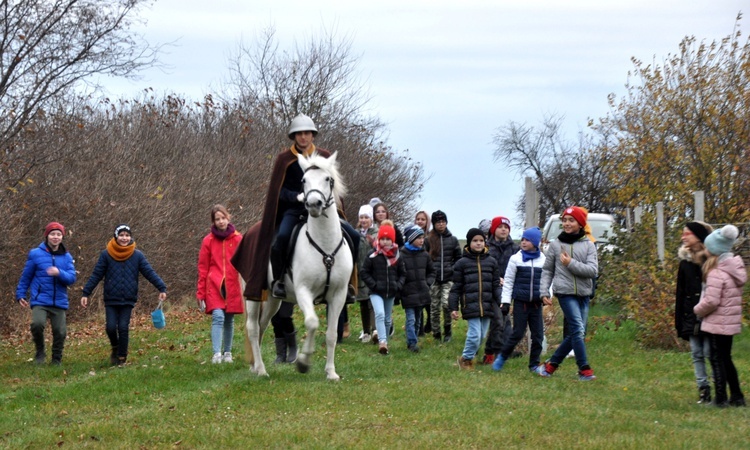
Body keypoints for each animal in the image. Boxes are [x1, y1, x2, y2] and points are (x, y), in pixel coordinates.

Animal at [245, 151, 354, 380]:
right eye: (304, 180)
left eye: (328, 179)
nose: (313, 204)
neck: (324, 244)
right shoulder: (304, 291)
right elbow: (312, 322)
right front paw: (303, 363)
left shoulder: (339, 295)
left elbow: (331, 334)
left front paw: (331, 372)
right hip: (252, 294)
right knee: (252, 327)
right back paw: (261, 370)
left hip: (273, 300)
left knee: (262, 325)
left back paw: (256, 366)